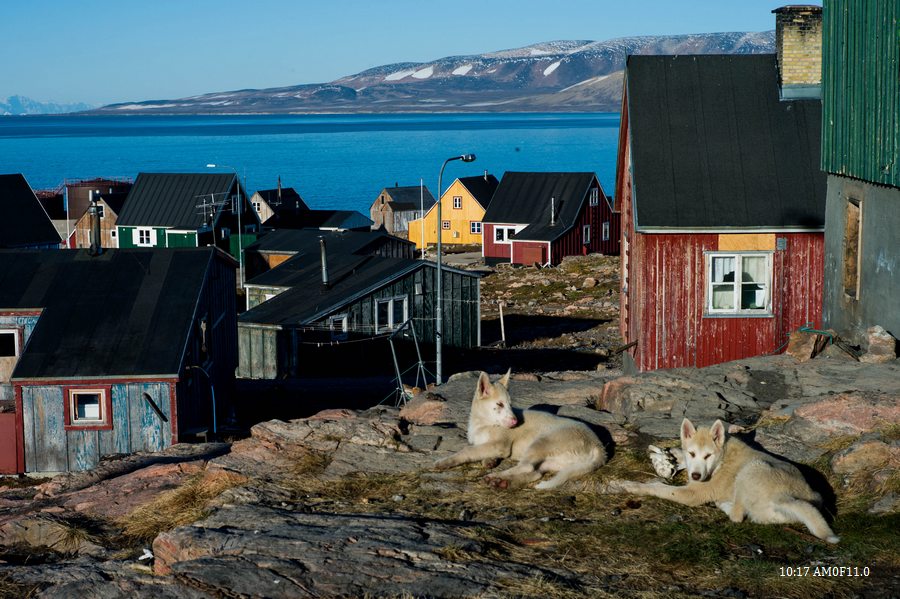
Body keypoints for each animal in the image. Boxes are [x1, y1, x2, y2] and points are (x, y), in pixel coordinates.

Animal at [432, 368, 608, 490]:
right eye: (499, 404)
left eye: (510, 405)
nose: (516, 421)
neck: (483, 422)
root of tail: (598, 445)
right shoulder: (488, 444)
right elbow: (480, 450)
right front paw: (489, 460)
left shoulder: (500, 445)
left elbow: (468, 450)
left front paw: (444, 462)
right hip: (554, 461)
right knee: (535, 472)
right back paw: (503, 482)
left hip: (541, 443)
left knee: (527, 467)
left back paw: (494, 477)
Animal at [608, 420, 840, 548]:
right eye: (693, 453)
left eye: (708, 455)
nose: (696, 476)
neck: (720, 460)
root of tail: (787, 497)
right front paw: (672, 455)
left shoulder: (692, 494)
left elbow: (658, 488)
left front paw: (626, 485)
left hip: (752, 468)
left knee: (737, 516)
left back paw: (723, 505)